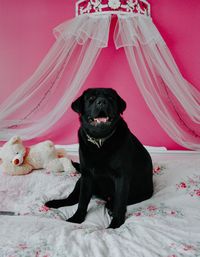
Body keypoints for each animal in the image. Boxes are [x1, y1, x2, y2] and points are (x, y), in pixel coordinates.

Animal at [45, 88, 153, 228]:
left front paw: (115, 224)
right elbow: (82, 201)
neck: (100, 141)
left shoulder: (122, 177)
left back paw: (111, 206)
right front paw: (77, 218)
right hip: (80, 181)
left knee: (117, 201)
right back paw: (55, 203)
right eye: (91, 98)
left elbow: (120, 203)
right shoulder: (86, 176)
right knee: (72, 198)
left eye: (111, 98)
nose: (102, 102)